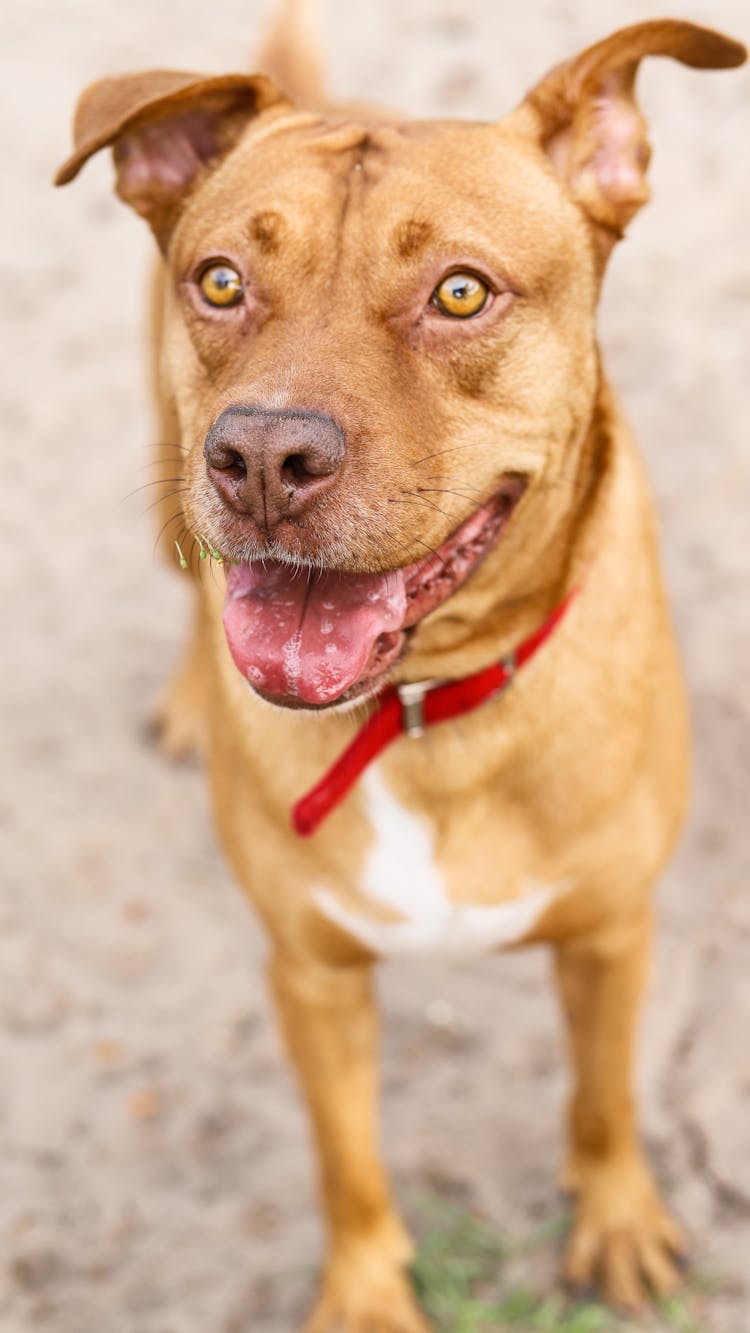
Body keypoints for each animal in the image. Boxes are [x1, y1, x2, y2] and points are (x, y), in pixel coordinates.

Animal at [54, 7, 746, 1322]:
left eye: (461, 292)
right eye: (221, 281)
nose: (264, 457)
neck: (425, 713)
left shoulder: (611, 934)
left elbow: (605, 1095)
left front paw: (618, 1218)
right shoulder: (313, 975)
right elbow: (347, 1158)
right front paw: (370, 1292)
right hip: (169, 488)